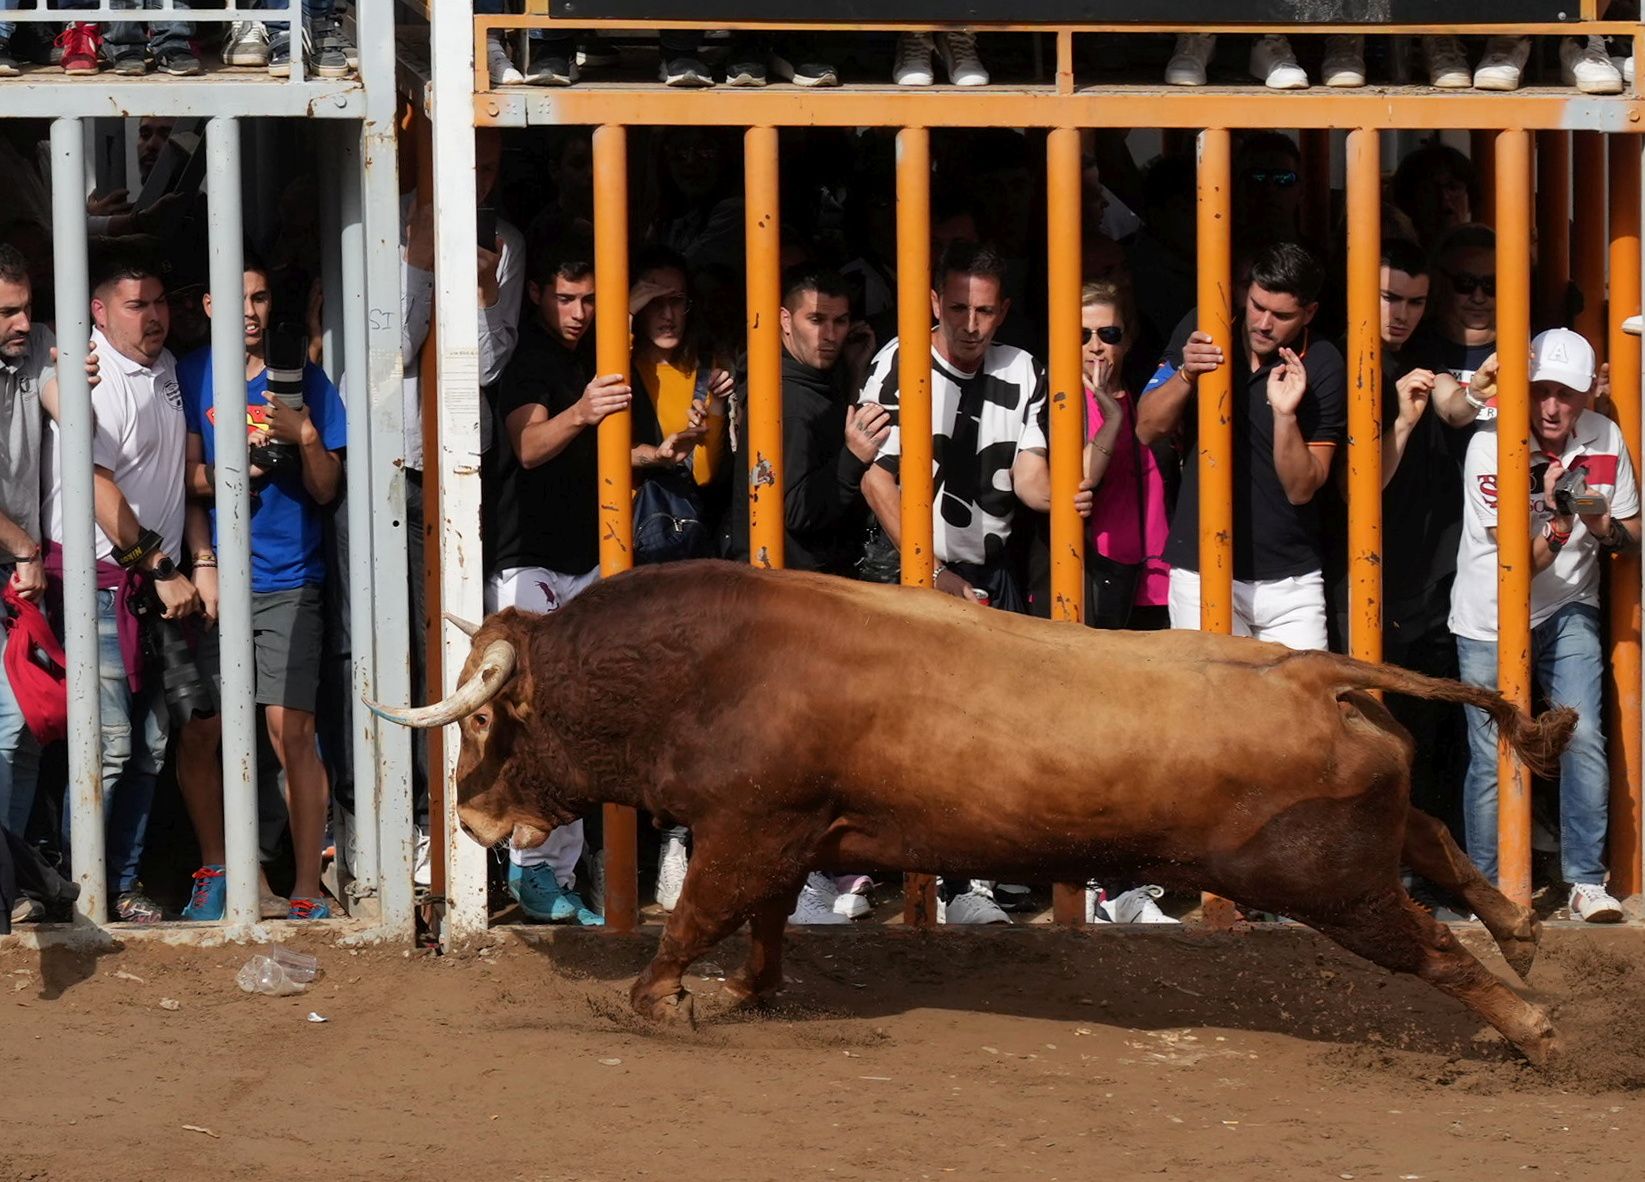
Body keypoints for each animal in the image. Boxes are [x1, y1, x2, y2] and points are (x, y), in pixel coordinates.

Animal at [370, 562, 1566, 1065]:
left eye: (488, 722)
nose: (474, 827)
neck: (693, 665)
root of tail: (1313, 671)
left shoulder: (751, 824)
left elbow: (700, 914)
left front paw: (660, 1003)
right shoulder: (786, 830)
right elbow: (759, 921)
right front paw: (751, 992)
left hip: (1323, 879)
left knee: (1426, 946)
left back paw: (1531, 1028)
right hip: (1348, 848)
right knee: (1434, 845)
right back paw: (1519, 930)